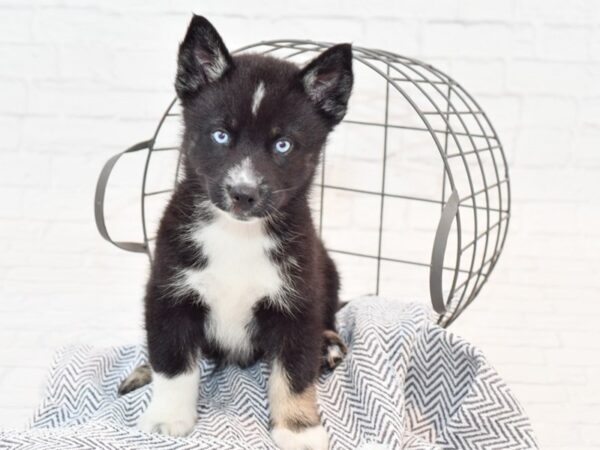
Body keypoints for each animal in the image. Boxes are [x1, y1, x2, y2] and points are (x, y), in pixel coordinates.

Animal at [119, 14, 354, 450]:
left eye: (283, 145)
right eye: (221, 135)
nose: (243, 194)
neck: (237, 235)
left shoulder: (297, 300)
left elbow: (294, 372)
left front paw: (299, 429)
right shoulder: (168, 291)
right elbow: (173, 362)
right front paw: (167, 418)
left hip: (327, 269)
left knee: (328, 314)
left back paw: (328, 345)